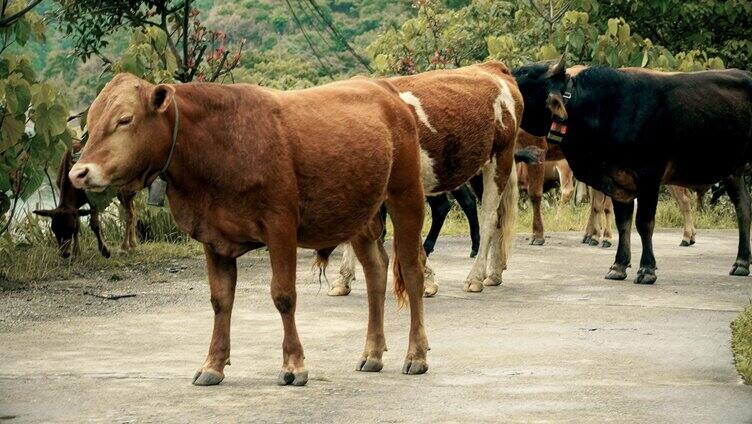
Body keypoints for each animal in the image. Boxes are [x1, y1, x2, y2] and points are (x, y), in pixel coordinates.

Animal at [70, 73, 432, 388]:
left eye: (125, 119)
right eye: (91, 122)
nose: (79, 172)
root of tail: (383, 87)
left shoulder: (280, 225)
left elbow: (283, 295)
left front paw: (293, 365)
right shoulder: (212, 236)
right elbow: (220, 299)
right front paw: (213, 364)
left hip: (406, 194)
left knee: (412, 270)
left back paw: (416, 355)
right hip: (360, 211)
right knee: (376, 271)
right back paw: (372, 353)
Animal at [516, 58, 752, 284]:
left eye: (523, 75)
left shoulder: (649, 178)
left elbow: (644, 223)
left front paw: (647, 269)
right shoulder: (618, 180)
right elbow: (623, 223)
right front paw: (618, 265)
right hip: (734, 172)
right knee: (743, 207)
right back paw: (741, 262)